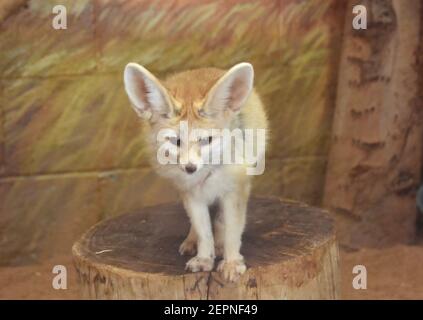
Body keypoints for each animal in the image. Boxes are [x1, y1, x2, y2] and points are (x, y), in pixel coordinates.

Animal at [123, 61, 268, 282]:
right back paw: (194, 241)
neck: (205, 175)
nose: (190, 168)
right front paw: (204, 258)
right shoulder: (191, 193)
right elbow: (203, 230)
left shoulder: (234, 190)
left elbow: (232, 230)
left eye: (206, 140)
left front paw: (232, 261)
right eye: (175, 141)